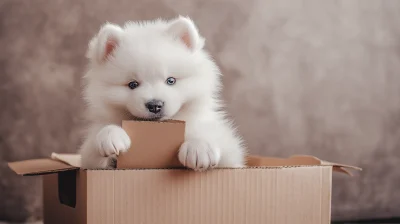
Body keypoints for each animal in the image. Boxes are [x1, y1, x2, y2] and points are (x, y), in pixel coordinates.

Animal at [78, 16, 245, 170]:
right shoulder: (87, 159)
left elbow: (215, 138)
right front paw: (110, 135)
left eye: (171, 80)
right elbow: (94, 146)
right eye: (132, 84)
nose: (155, 105)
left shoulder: (230, 152)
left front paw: (198, 147)